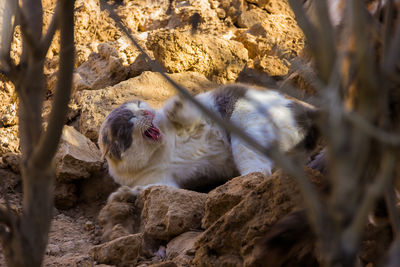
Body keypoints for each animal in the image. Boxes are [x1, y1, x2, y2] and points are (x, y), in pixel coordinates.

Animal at [98, 84, 318, 197]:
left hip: (244, 124)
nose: (146, 112)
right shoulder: (160, 180)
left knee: (258, 168)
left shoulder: (200, 111)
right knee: (263, 167)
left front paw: (174, 106)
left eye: (139, 104)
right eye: (129, 121)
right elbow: (151, 188)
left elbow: (182, 113)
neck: (162, 151)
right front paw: (125, 194)